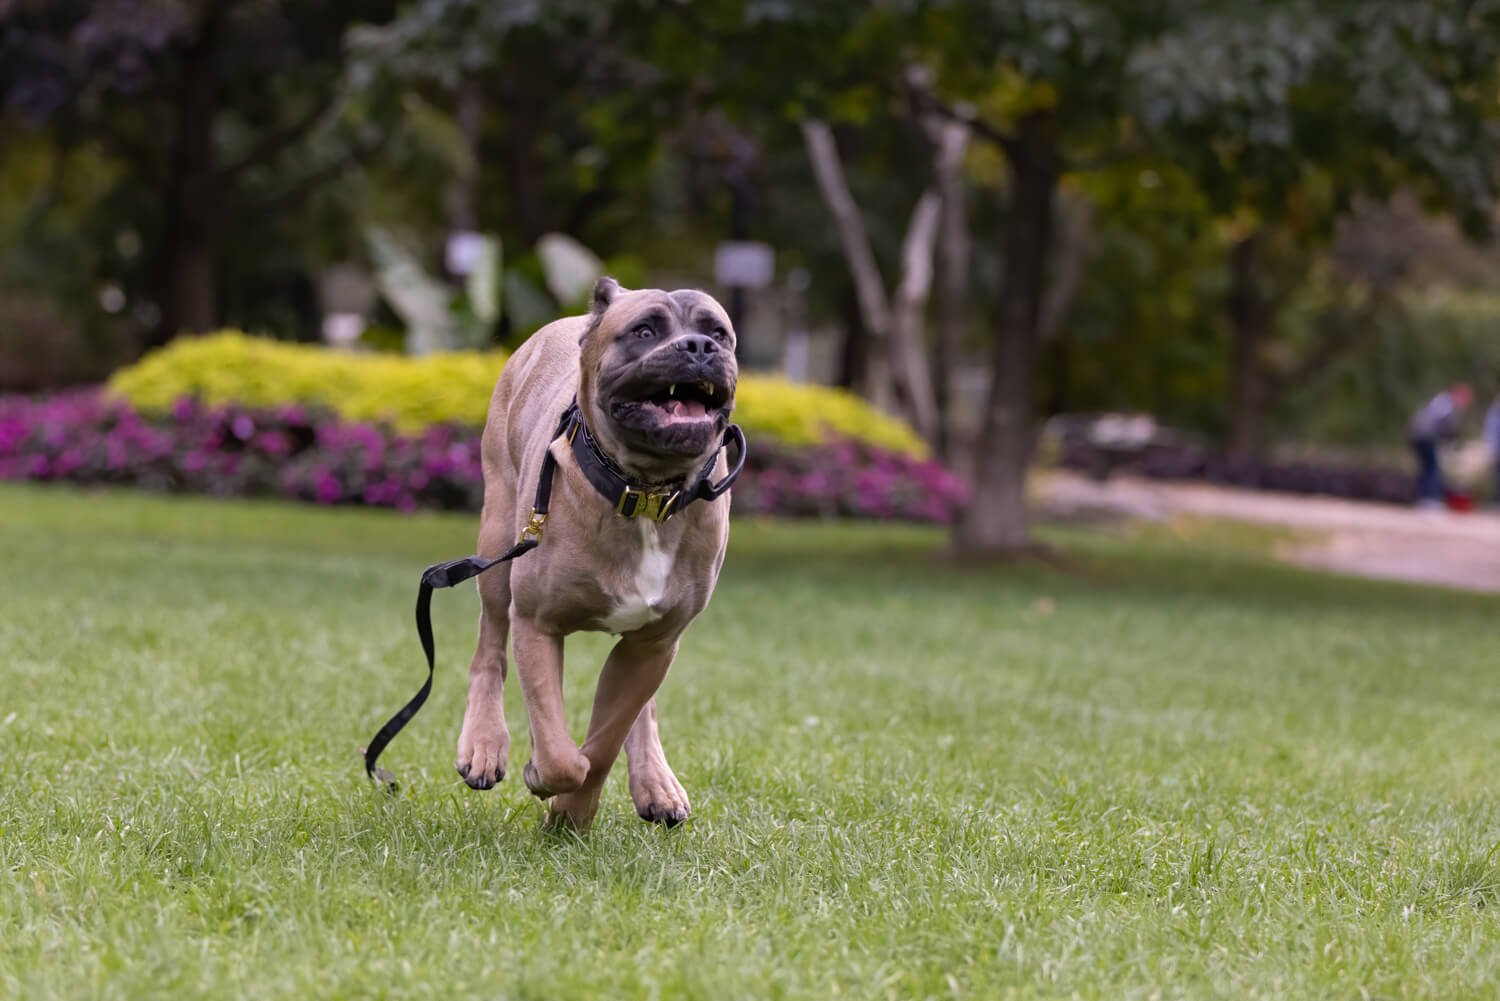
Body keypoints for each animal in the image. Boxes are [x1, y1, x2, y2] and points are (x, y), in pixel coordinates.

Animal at [453, 276, 741, 828]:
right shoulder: (536, 624)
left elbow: (605, 741)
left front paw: (572, 812)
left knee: (640, 710)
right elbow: (561, 753)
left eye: (719, 333)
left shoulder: (654, 644)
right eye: (645, 330)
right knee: (488, 648)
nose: (699, 347)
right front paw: (545, 779)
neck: (646, 492)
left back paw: (656, 782)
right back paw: (483, 743)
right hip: (497, 544)